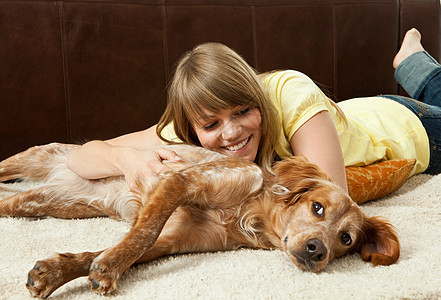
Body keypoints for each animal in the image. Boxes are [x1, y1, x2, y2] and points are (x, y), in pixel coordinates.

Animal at [0, 144, 398, 298]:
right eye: (317, 208)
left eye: (346, 240)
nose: (317, 250)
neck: (246, 213)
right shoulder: (181, 181)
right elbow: (143, 233)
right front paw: (108, 269)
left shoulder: (173, 240)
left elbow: (109, 250)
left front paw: (55, 272)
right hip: (33, 158)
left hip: (36, 203)